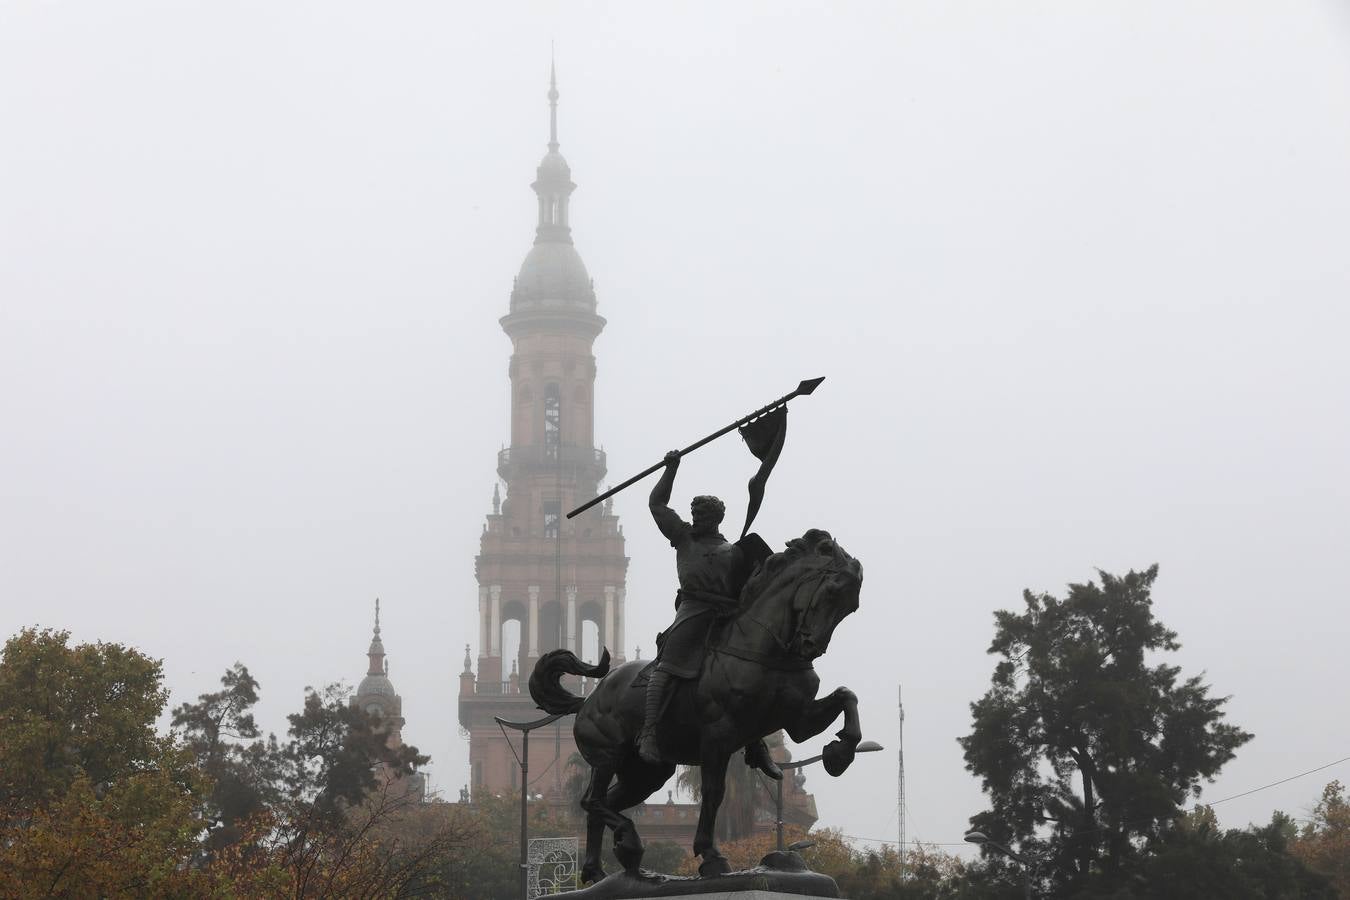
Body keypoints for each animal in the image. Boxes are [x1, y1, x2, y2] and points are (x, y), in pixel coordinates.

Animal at [526, 531, 864, 885]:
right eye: (831, 591)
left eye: (851, 606)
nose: (809, 647)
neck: (764, 647)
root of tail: (586, 702)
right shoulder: (718, 735)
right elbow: (714, 793)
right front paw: (711, 855)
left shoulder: (798, 721)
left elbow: (847, 697)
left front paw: (839, 754)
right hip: (607, 755)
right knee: (592, 800)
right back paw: (627, 845)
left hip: (647, 773)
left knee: (603, 803)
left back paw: (601, 869)